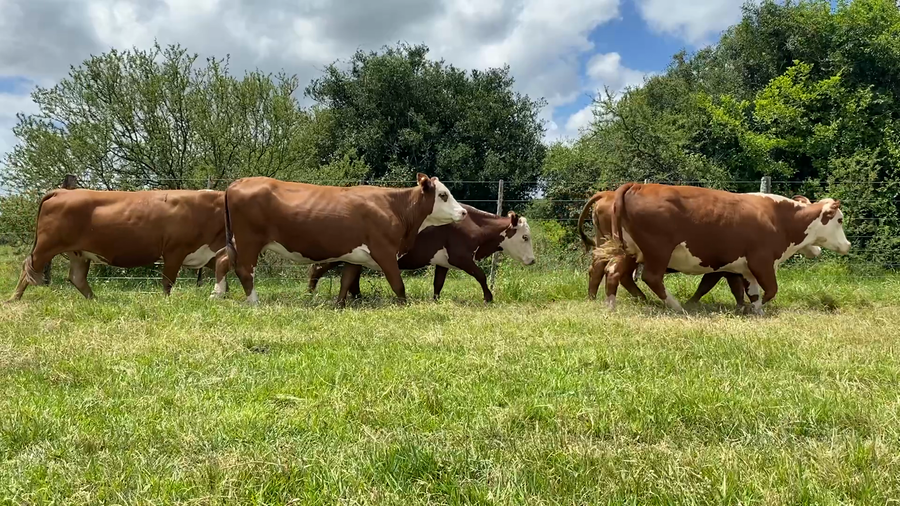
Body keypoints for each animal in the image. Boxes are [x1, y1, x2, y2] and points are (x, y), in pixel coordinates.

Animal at [8, 188, 231, 301]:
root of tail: (62, 191)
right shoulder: (175, 250)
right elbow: (168, 281)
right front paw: (167, 302)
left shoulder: (207, 252)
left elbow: (223, 267)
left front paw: (222, 293)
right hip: (46, 246)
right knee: (28, 268)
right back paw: (14, 299)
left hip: (78, 252)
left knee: (77, 277)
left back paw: (95, 300)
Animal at [223, 173, 467, 305]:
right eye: (443, 194)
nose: (463, 212)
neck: (394, 206)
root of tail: (237, 183)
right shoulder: (385, 252)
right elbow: (398, 285)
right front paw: (404, 305)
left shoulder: (355, 256)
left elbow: (346, 282)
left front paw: (339, 305)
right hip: (249, 240)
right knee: (244, 270)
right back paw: (254, 301)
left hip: (235, 241)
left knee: (224, 261)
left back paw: (219, 294)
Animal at [306, 204, 536, 303]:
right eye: (525, 237)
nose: (532, 260)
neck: (474, 225)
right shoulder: (461, 257)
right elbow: (480, 275)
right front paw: (488, 297)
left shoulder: (443, 262)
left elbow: (438, 283)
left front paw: (435, 300)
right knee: (317, 268)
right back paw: (311, 293)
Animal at [605, 182, 850, 314]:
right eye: (839, 219)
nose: (847, 245)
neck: (778, 218)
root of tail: (638, 185)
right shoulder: (762, 261)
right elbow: (770, 290)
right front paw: (752, 309)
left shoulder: (746, 269)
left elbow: (753, 292)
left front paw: (755, 310)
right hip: (658, 252)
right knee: (652, 278)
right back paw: (677, 306)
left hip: (629, 252)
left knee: (613, 272)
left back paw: (611, 306)